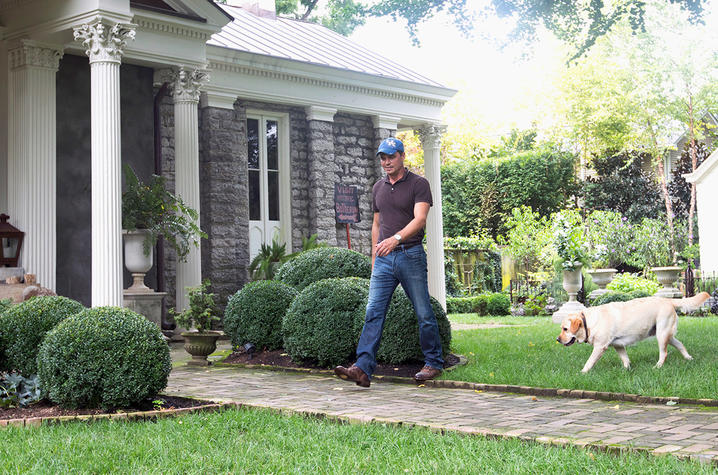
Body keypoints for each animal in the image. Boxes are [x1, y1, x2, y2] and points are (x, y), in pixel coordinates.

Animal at [556, 292, 708, 374]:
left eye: (565, 329)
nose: (557, 340)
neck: (588, 322)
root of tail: (667, 300)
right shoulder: (618, 345)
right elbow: (625, 359)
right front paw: (626, 370)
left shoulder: (600, 347)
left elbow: (589, 361)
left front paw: (583, 372)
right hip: (666, 335)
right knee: (680, 344)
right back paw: (688, 358)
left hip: (662, 334)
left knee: (664, 353)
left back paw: (657, 367)